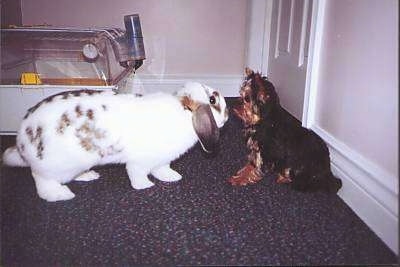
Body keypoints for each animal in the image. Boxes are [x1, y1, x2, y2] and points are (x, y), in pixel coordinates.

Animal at [2, 82, 228, 202]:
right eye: (213, 101)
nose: (227, 116)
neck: (184, 113)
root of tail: (22, 142)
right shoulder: (140, 161)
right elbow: (137, 174)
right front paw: (144, 186)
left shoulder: (162, 159)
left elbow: (162, 169)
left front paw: (172, 177)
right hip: (54, 168)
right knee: (41, 180)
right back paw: (61, 194)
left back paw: (89, 176)